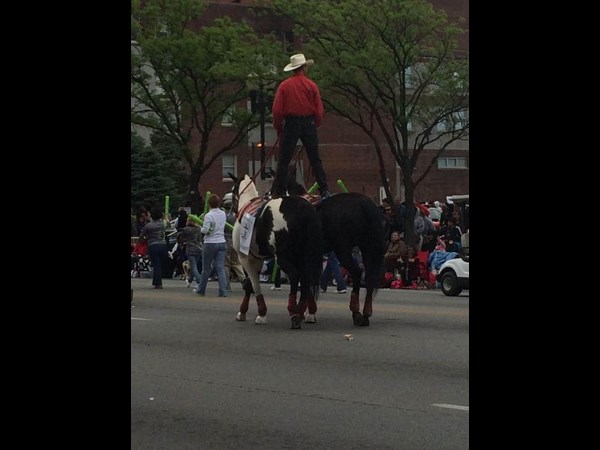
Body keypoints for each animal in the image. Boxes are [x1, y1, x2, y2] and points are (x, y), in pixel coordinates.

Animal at [231, 174, 324, 328]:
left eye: (233, 191)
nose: (232, 209)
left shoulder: (245, 258)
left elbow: (253, 285)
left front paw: (257, 314)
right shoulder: (257, 259)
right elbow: (250, 284)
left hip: (283, 257)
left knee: (294, 275)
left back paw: (294, 312)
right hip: (302, 256)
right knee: (306, 278)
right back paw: (303, 311)